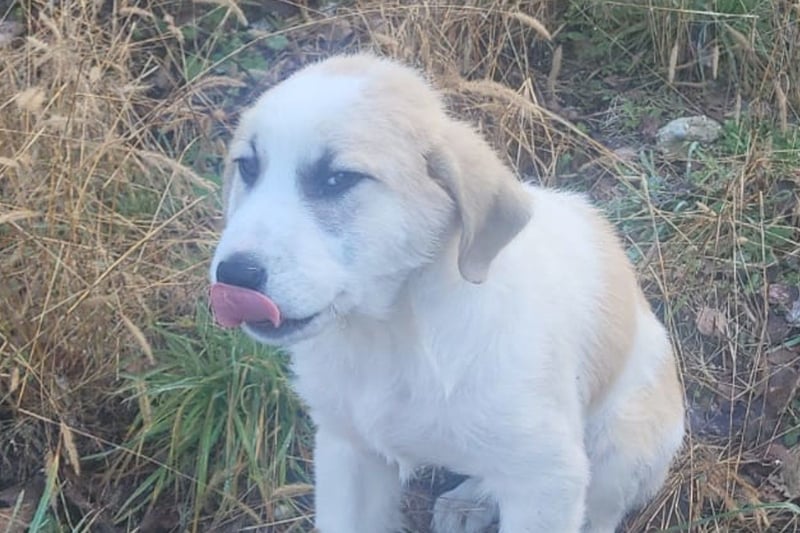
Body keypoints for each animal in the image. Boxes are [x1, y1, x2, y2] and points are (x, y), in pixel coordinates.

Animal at [208, 53, 685, 533]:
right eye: (248, 168)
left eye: (337, 179)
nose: (232, 276)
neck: (392, 334)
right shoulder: (348, 449)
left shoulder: (548, 476)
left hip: (619, 444)